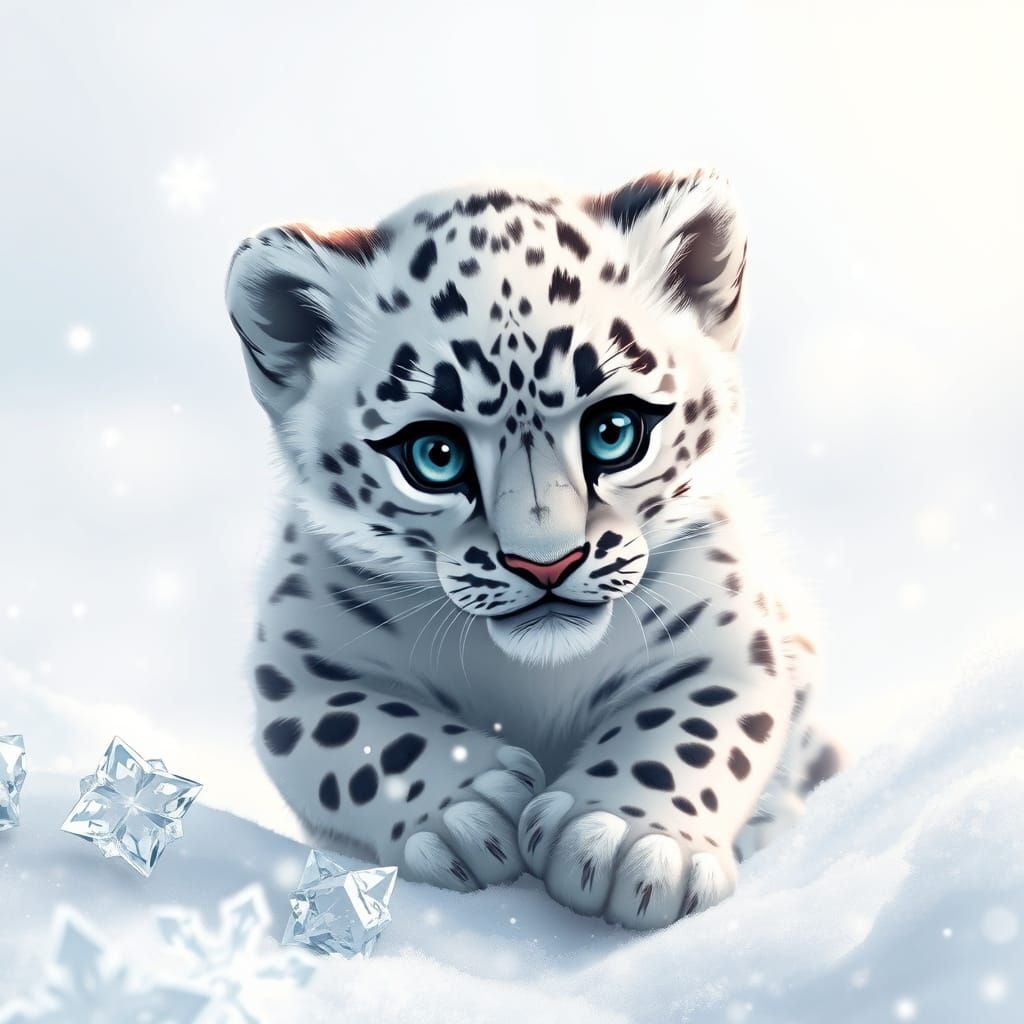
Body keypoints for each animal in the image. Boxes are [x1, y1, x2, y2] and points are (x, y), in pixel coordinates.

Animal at [225, 169, 843, 930]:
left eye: (614, 430)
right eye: (434, 454)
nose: (545, 563)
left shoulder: (729, 642)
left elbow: (691, 729)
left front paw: (627, 843)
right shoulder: (302, 668)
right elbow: (364, 735)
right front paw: (472, 808)